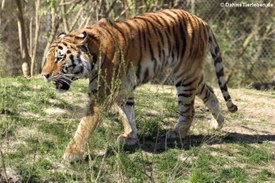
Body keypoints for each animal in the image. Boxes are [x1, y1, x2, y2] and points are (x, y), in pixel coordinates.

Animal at [41, 9, 239, 162]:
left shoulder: (102, 93)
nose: (44, 75)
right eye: (49, 58)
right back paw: (217, 122)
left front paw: (72, 153)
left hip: (185, 75)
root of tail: (202, 21)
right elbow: (127, 113)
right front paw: (130, 136)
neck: (94, 55)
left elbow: (85, 125)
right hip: (191, 76)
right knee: (209, 91)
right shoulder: (123, 88)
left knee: (189, 109)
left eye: (59, 58)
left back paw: (178, 132)